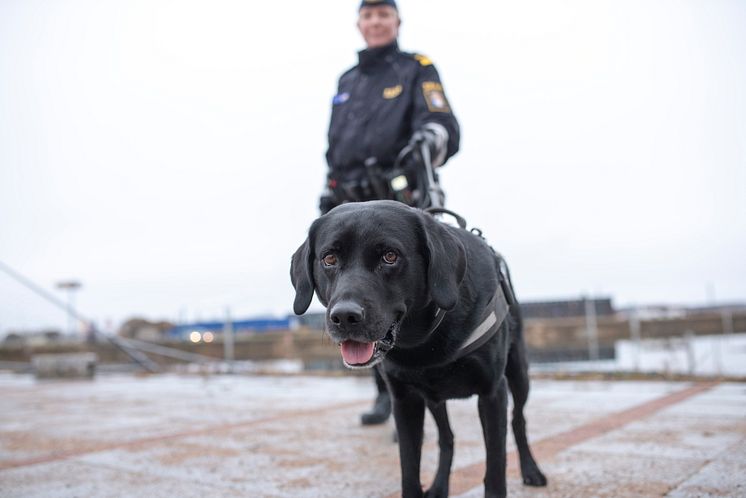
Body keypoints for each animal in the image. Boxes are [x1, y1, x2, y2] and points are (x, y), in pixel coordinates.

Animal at [292, 200, 548, 496]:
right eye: (329, 259)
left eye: (390, 256)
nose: (344, 316)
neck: (425, 340)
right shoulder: (405, 400)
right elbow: (409, 470)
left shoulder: (492, 392)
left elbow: (495, 469)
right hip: (434, 399)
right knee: (447, 438)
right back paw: (438, 486)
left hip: (518, 374)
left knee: (518, 421)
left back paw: (531, 470)